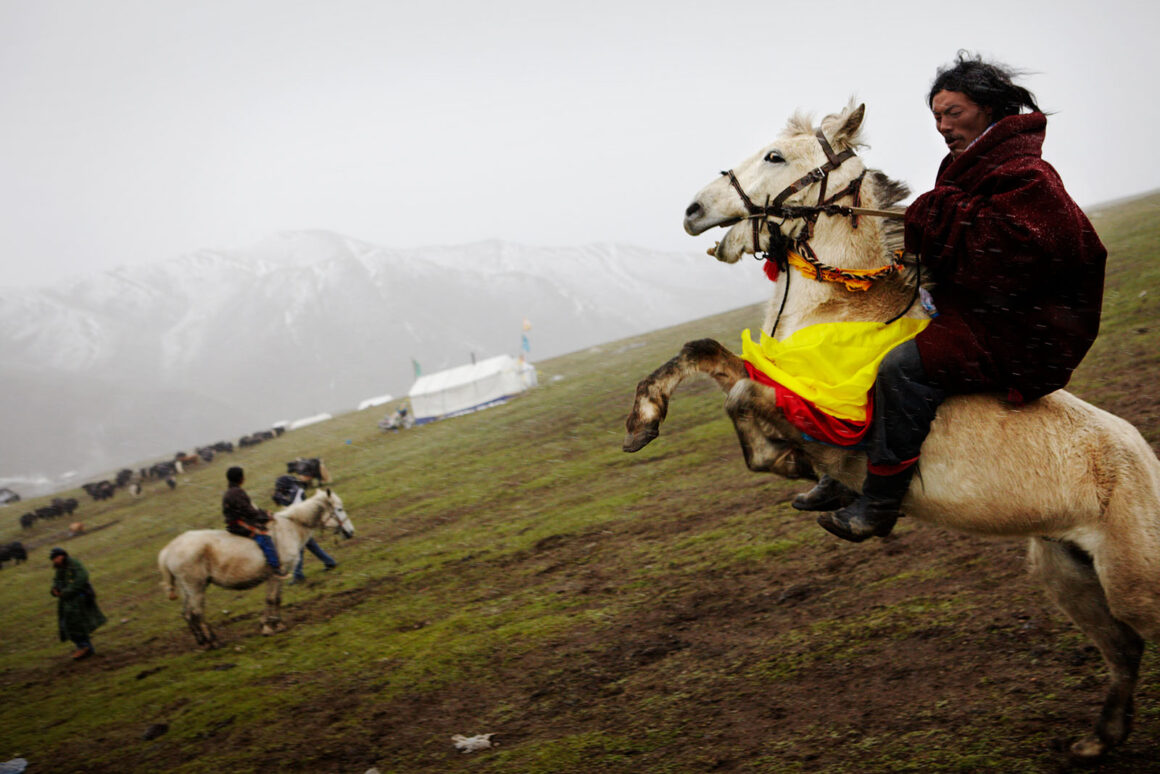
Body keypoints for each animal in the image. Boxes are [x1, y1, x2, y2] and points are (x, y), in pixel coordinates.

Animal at [157, 489, 352, 649]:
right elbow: (271, 599)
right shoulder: (276, 573)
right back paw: (213, 641)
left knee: (187, 614)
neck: (290, 527)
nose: (350, 532)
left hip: (187, 589)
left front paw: (277, 624)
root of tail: (168, 550)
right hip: (196, 587)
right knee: (197, 613)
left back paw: (202, 642)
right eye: (339, 509)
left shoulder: (279, 575)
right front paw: (268, 627)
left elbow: (277, 599)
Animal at [626, 99, 1160, 761]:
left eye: (776, 156)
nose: (693, 211)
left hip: (1133, 581)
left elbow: (745, 399)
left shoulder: (827, 420)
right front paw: (642, 421)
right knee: (1124, 648)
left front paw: (791, 466)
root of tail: (1147, 465)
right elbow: (702, 352)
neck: (839, 310)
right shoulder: (783, 382)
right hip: (1067, 572)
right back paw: (1100, 739)